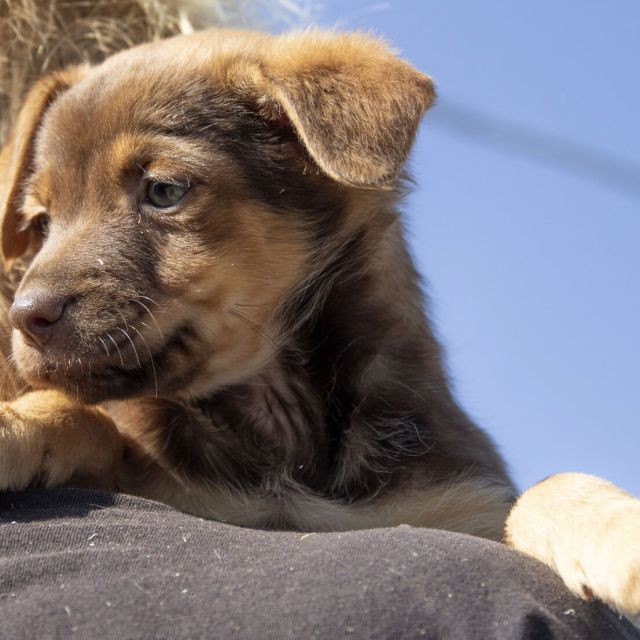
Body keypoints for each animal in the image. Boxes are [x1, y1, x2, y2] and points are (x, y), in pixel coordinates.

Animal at [1, 12, 640, 620]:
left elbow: (544, 487)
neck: (282, 434)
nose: (24, 317)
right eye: (41, 222)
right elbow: (89, 417)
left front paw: (617, 531)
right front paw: (17, 423)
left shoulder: (461, 498)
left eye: (163, 190)